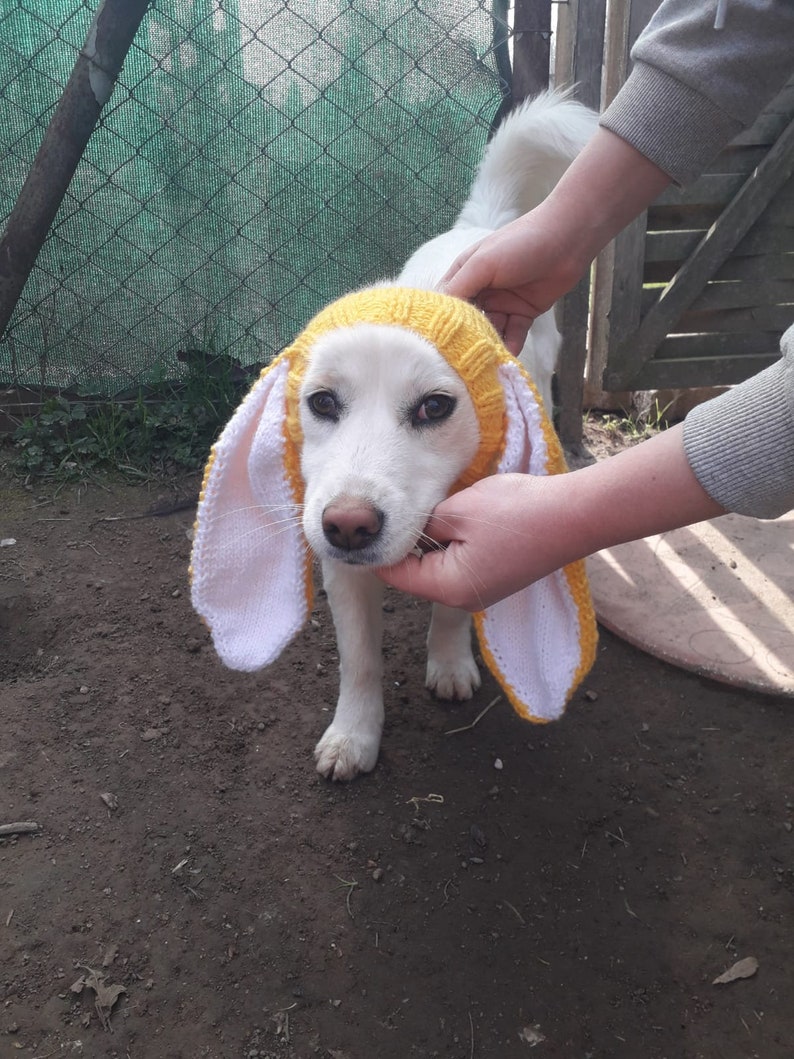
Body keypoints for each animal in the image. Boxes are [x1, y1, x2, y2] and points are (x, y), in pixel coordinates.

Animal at [192, 91, 601, 783]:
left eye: (435, 407)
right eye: (321, 402)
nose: (348, 526)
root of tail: (480, 228)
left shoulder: (471, 536)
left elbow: (452, 610)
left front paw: (451, 664)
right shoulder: (343, 575)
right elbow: (360, 661)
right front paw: (354, 737)